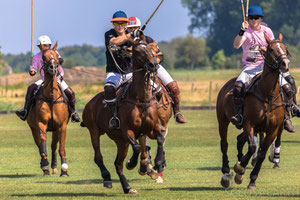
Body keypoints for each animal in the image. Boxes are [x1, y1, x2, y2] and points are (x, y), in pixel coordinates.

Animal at [26, 42, 69, 177]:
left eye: (56, 55)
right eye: (43, 57)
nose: (53, 67)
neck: (51, 96)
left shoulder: (62, 125)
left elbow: (61, 148)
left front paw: (64, 170)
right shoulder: (41, 123)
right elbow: (43, 144)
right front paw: (45, 166)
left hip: (55, 130)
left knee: (54, 146)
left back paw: (55, 167)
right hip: (33, 128)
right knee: (40, 145)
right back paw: (45, 165)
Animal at [81, 36, 165, 194]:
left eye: (150, 49)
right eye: (137, 51)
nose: (153, 65)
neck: (140, 98)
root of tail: (90, 102)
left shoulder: (150, 128)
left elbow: (160, 138)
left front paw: (158, 163)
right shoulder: (127, 130)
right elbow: (137, 147)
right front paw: (131, 163)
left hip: (120, 141)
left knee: (117, 164)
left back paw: (127, 187)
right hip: (94, 131)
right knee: (98, 157)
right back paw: (107, 178)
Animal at [217, 33, 290, 190]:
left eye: (284, 48)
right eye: (271, 49)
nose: (285, 64)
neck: (268, 94)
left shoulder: (273, 129)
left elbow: (261, 153)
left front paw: (251, 180)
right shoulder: (249, 123)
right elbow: (252, 147)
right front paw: (239, 168)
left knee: (239, 140)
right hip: (223, 120)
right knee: (224, 144)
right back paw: (226, 174)